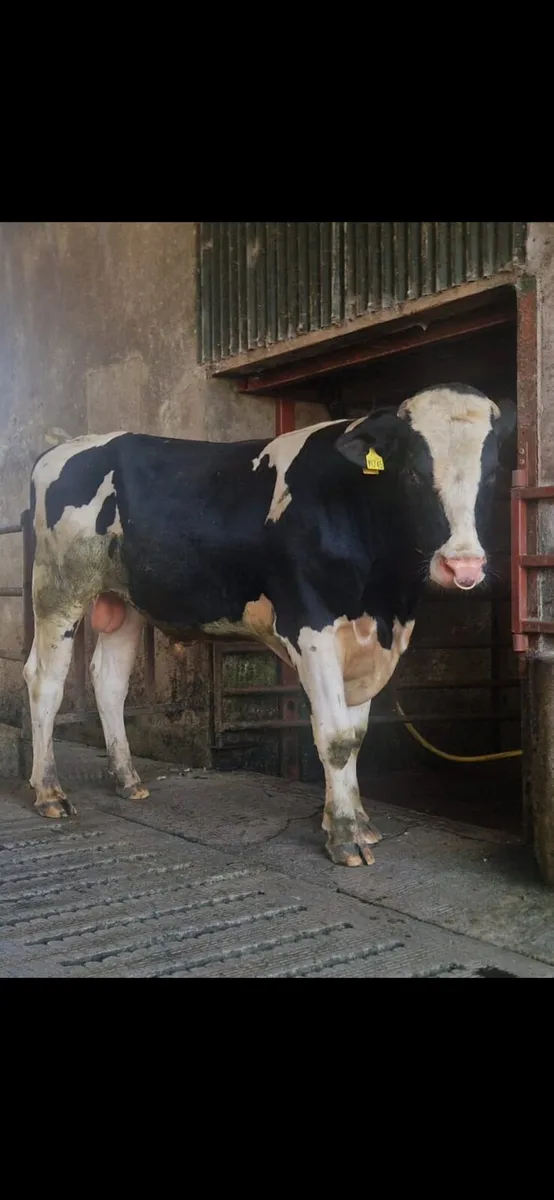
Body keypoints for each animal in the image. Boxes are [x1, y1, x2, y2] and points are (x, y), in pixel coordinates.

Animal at [23, 384, 516, 867]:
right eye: (413, 472)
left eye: (491, 474)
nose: (463, 565)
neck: (384, 599)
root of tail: (60, 449)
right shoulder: (310, 624)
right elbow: (336, 736)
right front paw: (344, 836)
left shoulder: (369, 640)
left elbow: (356, 735)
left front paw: (356, 821)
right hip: (57, 589)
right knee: (44, 681)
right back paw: (48, 791)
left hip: (124, 601)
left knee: (108, 682)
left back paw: (127, 780)